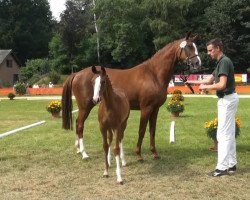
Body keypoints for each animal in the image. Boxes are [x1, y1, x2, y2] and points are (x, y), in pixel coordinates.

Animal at [62, 32, 201, 161]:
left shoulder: (155, 109)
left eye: (195, 46)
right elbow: (142, 130)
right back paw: (84, 154)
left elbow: (152, 130)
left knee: (77, 124)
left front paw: (154, 153)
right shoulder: (146, 108)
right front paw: (139, 155)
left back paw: (79, 150)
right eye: (188, 46)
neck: (153, 74)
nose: (197, 63)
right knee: (80, 125)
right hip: (85, 107)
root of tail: (76, 74)